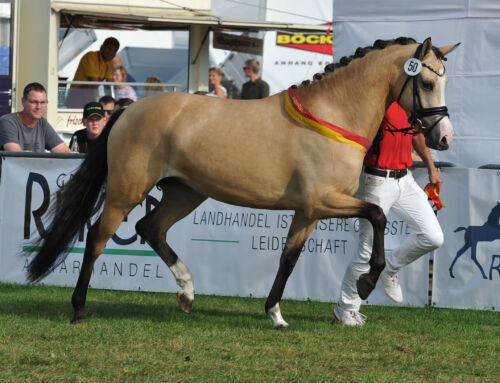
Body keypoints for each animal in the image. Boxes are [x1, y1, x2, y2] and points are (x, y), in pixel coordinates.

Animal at [26, 37, 458, 328]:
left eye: (444, 82)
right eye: (425, 84)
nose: (443, 137)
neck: (333, 114)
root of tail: (129, 110)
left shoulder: (308, 212)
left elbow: (288, 259)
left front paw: (276, 314)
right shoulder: (323, 201)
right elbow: (378, 217)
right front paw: (368, 281)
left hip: (185, 193)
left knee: (151, 228)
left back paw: (187, 291)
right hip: (126, 191)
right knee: (98, 237)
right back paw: (79, 308)